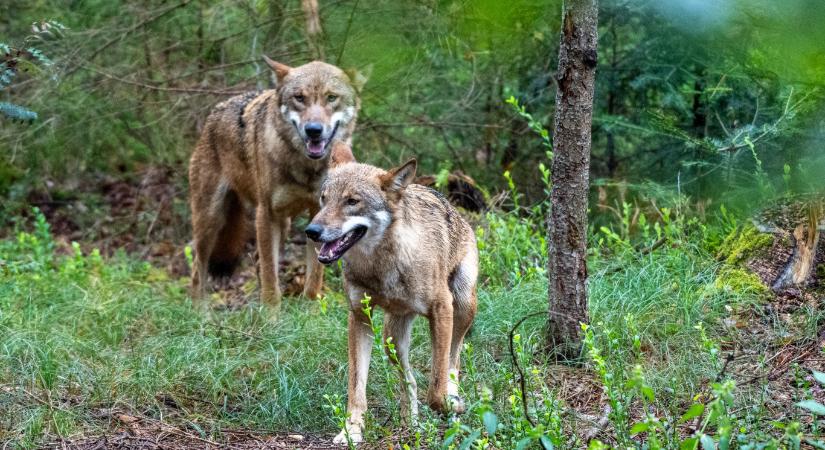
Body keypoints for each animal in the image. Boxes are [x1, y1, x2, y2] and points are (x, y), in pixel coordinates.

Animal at [192, 57, 366, 306]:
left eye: (332, 97)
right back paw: (200, 311)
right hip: (210, 221)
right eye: (299, 97)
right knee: (198, 270)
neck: (306, 168)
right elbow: (270, 278)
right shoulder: (266, 214)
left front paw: (310, 310)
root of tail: (215, 111)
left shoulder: (318, 216)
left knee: (256, 259)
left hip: (283, 224)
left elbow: (314, 277)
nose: (313, 130)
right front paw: (271, 314)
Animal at [306, 157, 480, 442]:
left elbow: (436, 388)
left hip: (463, 306)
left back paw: (452, 401)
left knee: (454, 361)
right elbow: (356, 386)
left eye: (352, 201)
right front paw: (352, 430)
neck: (382, 265)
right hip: (392, 339)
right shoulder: (359, 317)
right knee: (409, 379)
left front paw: (451, 403)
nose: (311, 231)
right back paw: (411, 425)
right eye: (324, 198)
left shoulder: (441, 309)